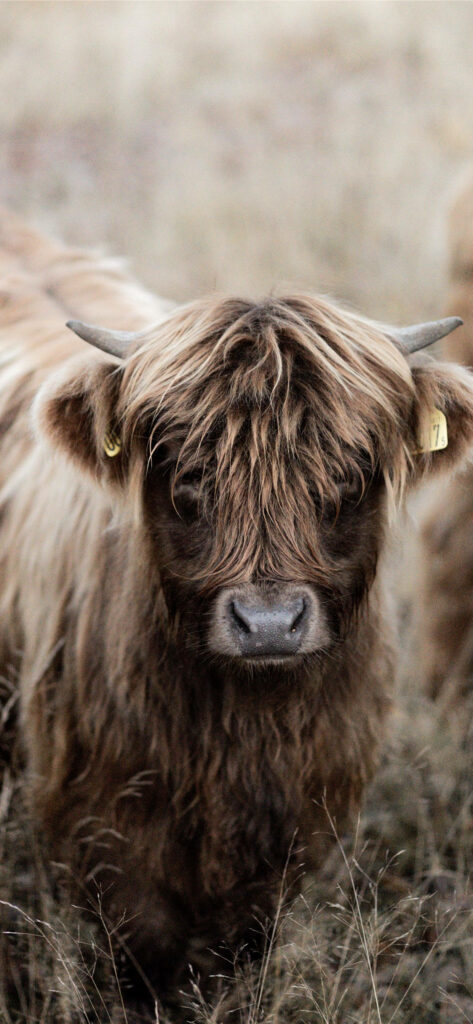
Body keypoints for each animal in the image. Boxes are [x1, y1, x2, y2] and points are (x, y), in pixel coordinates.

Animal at [0, 208, 472, 1018]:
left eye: (348, 474)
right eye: (187, 473)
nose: (270, 623)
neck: (239, 726)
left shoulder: (296, 823)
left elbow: (239, 952)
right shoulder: (101, 825)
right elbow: (145, 955)